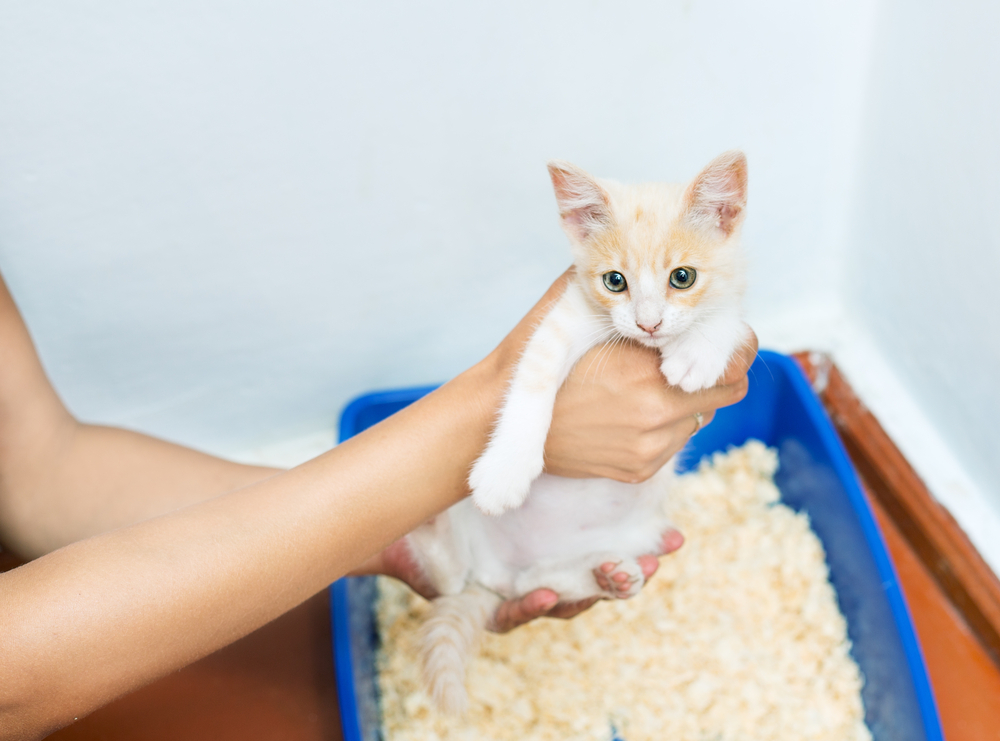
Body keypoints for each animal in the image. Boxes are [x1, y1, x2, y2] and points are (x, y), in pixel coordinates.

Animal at [406, 150, 752, 712]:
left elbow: (728, 321)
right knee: (449, 575)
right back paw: (433, 529)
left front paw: (697, 352)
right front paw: (507, 471)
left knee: (535, 582)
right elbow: (532, 378)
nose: (649, 324)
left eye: (682, 277)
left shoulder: (740, 315)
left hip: (629, 535)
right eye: (615, 282)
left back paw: (608, 575)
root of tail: (496, 576)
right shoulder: (561, 320)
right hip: (466, 527)